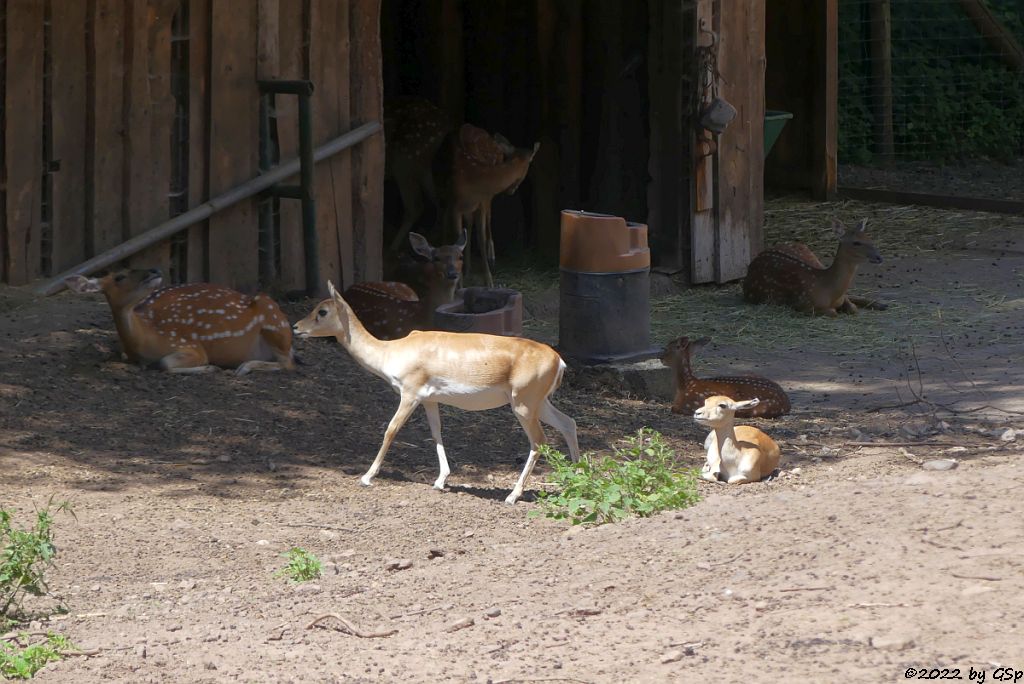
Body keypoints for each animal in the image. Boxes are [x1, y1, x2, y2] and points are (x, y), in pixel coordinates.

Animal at [65, 266, 292, 374]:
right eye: (119, 276)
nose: (155, 269)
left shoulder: (190, 346)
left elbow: (165, 363)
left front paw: (211, 367)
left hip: (274, 320)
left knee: (288, 363)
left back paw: (243, 367)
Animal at [292, 280, 581, 505]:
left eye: (322, 311)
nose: (296, 327)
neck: (390, 352)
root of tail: (559, 360)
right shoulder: (429, 399)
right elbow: (436, 432)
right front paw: (440, 480)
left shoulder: (409, 394)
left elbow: (390, 430)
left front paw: (366, 477)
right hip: (539, 403)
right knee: (569, 423)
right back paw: (578, 479)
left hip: (523, 404)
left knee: (539, 440)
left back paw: (512, 495)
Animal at [741, 218, 884, 317]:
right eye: (856, 242)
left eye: (870, 238)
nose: (879, 257)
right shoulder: (802, 304)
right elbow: (833, 312)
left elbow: (853, 308)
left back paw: (881, 304)